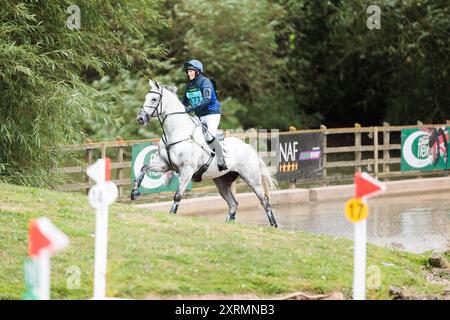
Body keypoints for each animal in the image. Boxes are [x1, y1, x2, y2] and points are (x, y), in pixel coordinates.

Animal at [130, 78, 278, 226]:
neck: (176, 132)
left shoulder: (187, 170)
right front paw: (134, 192)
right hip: (222, 182)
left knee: (264, 201)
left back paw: (273, 225)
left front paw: (171, 215)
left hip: (252, 180)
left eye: (154, 99)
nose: (140, 119)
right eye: (146, 97)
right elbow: (144, 168)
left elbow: (178, 195)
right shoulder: (165, 165)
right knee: (233, 203)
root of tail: (249, 148)